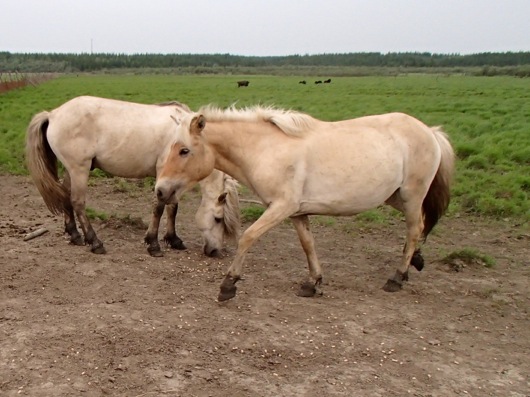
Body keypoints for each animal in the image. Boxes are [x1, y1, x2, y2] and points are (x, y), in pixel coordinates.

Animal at [25, 96, 238, 256]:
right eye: (218, 219)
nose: (215, 251)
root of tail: (53, 114)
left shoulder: (173, 180)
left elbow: (173, 207)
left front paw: (173, 239)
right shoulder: (163, 173)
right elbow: (159, 207)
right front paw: (153, 244)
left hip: (72, 170)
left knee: (66, 197)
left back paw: (75, 235)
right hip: (79, 170)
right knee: (77, 202)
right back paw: (95, 242)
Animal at [155, 105, 452, 300]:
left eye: (184, 150)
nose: (160, 190)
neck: (265, 149)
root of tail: (429, 131)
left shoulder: (280, 207)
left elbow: (248, 237)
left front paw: (228, 285)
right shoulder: (297, 212)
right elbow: (308, 244)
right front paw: (313, 282)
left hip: (411, 195)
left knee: (414, 229)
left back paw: (397, 277)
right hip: (396, 197)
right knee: (421, 224)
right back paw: (415, 262)